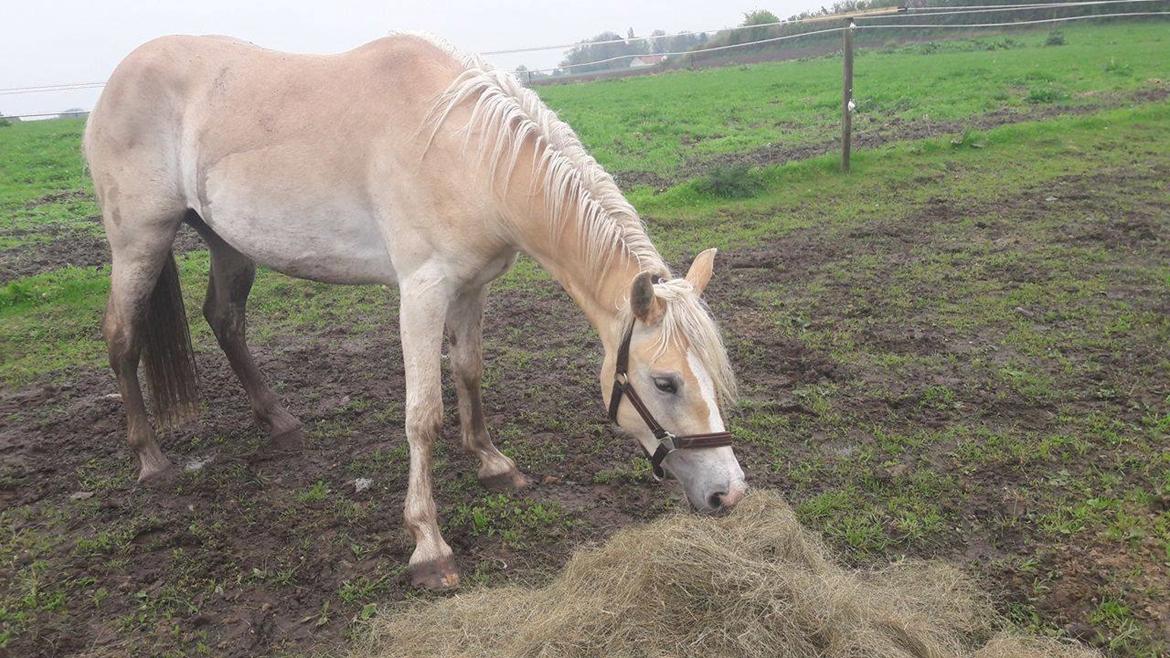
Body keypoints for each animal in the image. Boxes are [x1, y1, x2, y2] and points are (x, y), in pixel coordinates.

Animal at [82, 30, 744, 585]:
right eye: (665, 382)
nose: (729, 493)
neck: (465, 150)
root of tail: (115, 81)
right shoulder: (422, 292)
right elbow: (423, 413)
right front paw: (428, 544)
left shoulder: (473, 287)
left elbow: (469, 373)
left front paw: (492, 462)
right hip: (140, 240)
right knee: (122, 336)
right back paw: (151, 460)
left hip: (227, 242)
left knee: (224, 320)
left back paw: (279, 422)